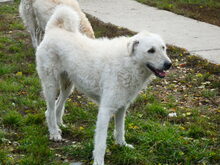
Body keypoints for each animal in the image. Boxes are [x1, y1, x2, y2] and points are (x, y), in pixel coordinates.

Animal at [35, 5, 172, 165]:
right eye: (151, 50)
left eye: (163, 48)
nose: (169, 64)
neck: (129, 62)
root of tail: (53, 29)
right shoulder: (105, 110)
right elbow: (101, 143)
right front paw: (99, 161)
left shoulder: (122, 107)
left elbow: (120, 129)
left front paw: (122, 145)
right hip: (51, 85)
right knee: (49, 110)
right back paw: (54, 133)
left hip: (68, 86)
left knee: (58, 105)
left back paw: (59, 125)